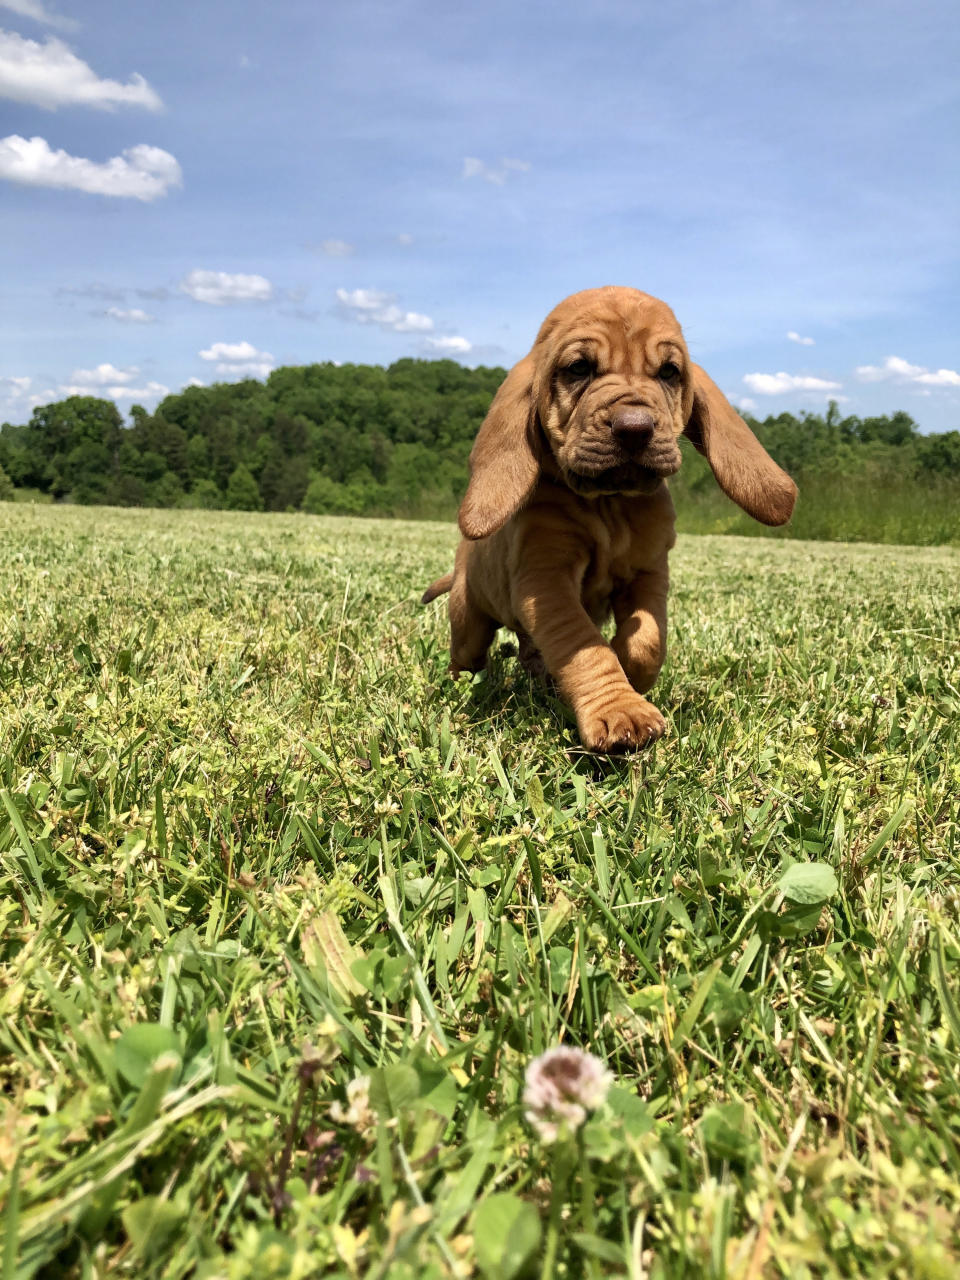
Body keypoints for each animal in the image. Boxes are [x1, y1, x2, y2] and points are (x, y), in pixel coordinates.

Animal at [419, 285, 798, 752]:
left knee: (531, 650)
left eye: (669, 372)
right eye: (579, 368)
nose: (635, 428)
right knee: (468, 655)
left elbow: (648, 639)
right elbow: (584, 644)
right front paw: (621, 709)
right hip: (469, 620)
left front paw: (632, 671)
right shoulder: (545, 582)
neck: (609, 505)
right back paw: (464, 685)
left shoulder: (650, 572)